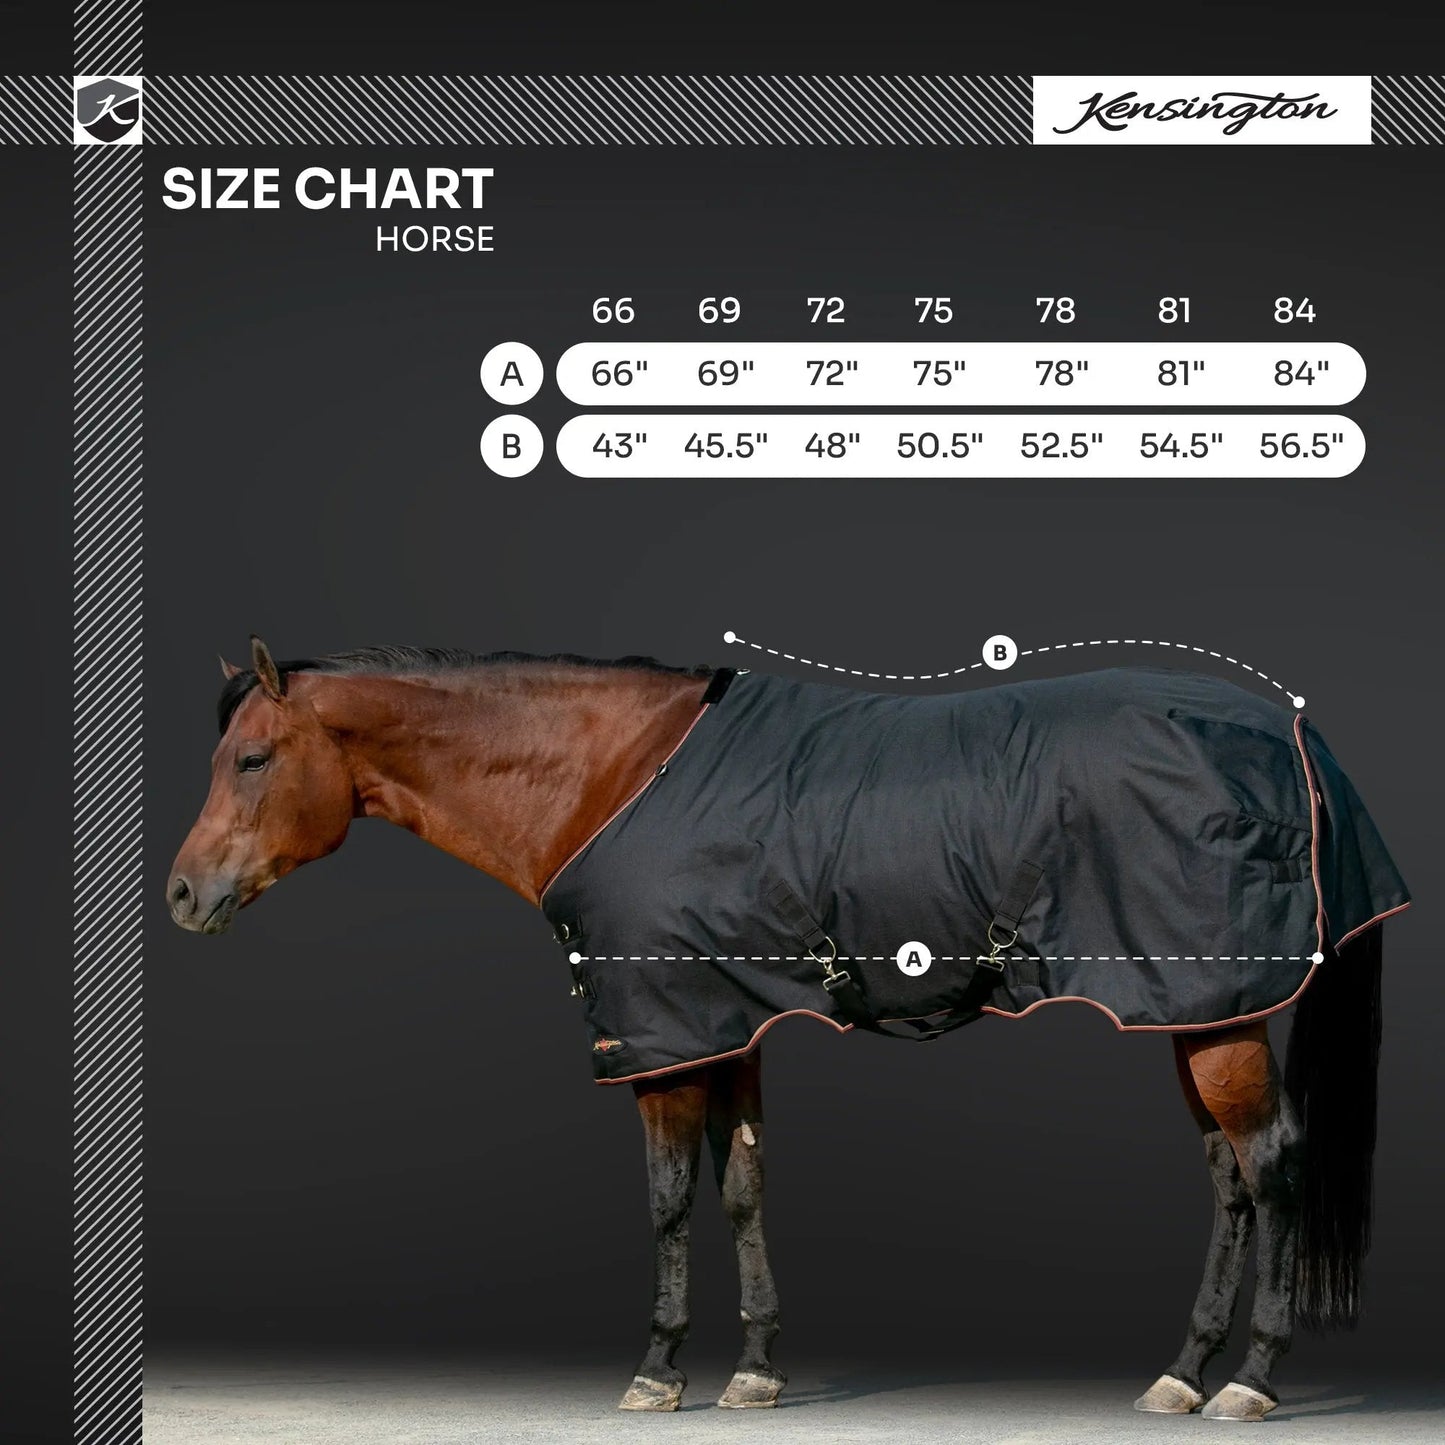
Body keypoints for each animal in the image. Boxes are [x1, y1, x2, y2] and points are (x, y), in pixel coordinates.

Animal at [167, 637, 1407, 1421]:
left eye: (253, 758)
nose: (182, 894)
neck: (613, 773)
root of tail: (1294, 736)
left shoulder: (660, 1037)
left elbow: (669, 1199)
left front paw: (658, 1369)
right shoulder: (722, 1025)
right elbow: (742, 1187)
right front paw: (755, 1368)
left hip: (1213, 1014)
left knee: (1271, 1167)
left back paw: (1249, 1379)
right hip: (1193, 1006)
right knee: (1229, 1178)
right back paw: (1182, 1372)